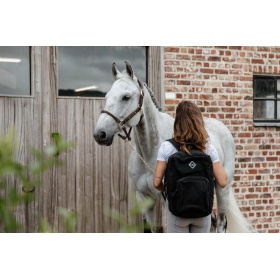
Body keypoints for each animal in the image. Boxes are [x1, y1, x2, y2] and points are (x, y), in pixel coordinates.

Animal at [94, 61, 256, 234]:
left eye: (126, 97)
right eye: (106, 96)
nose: (100, 134)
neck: (150, 151)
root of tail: (223, 128)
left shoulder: (168, 203)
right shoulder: (145, 199)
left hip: (222, 190)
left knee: (220, 223)